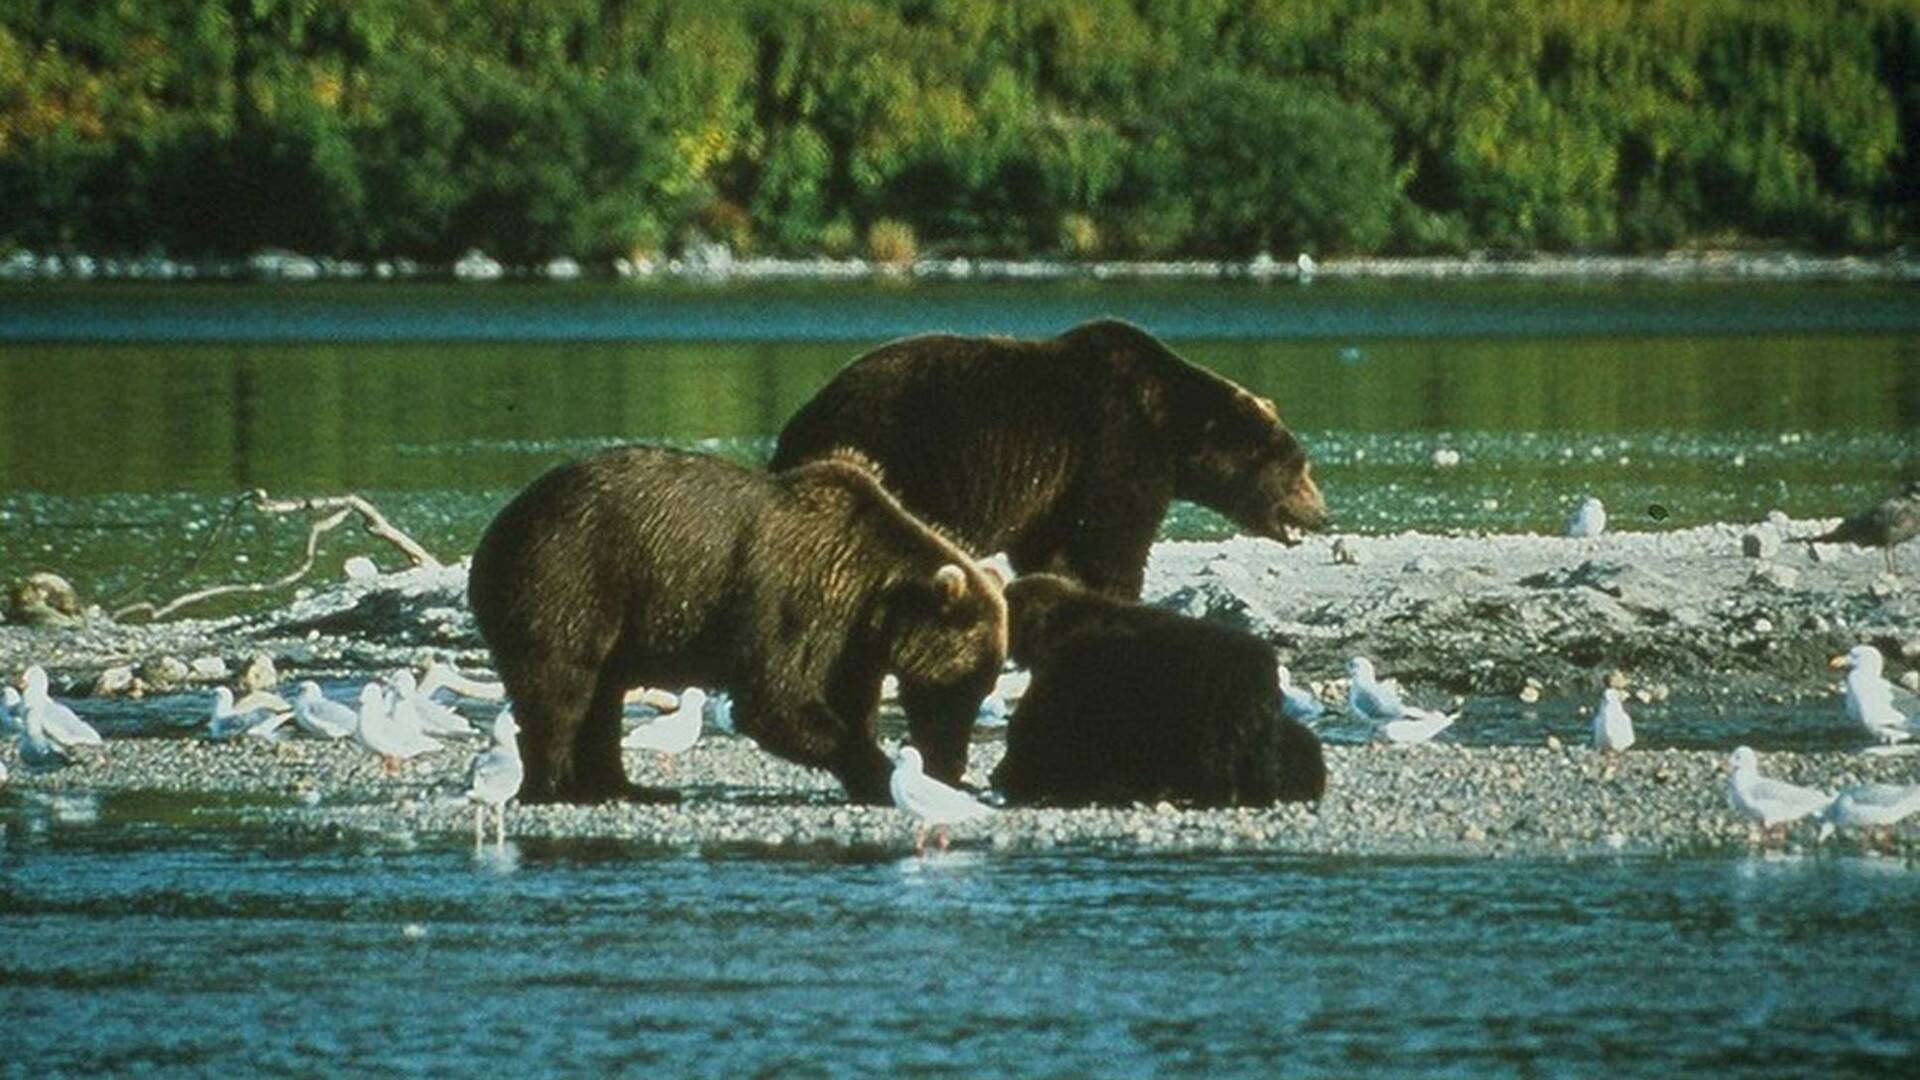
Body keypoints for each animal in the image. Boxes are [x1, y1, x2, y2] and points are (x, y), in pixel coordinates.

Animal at [467, 446, 1007, 805]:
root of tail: (497, 529)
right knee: (564, 683)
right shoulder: (789, 604)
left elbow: (849, 703)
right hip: (570, 575)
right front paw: (879, 773)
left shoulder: (849, 643)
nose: (953, 762)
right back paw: (558, 785)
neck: (867, 592)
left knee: (603, 693)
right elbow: (774, 701)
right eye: (961, 686)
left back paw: (624, 785)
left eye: (982, 685)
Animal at [770, 318, 1328, 599]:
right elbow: (1111, 538)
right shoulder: (1117, 441)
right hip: (892, 451)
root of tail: (799, 420)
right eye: (1299, 468)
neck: (1175, 427)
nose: (1322, 514)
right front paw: (1117, 591)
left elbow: (1053, 546)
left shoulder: (1059, 484)